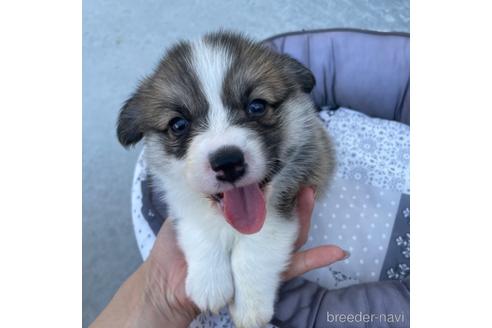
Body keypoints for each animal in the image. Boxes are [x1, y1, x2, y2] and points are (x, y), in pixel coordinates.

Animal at [117, 31, 334, 328]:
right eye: (178, 124)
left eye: (257, 106)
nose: (228, 162)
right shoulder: (183, 201)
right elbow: (200, 231)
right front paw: (209, 283)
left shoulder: (286, 198)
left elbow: (255, 250)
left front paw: (250, 305)